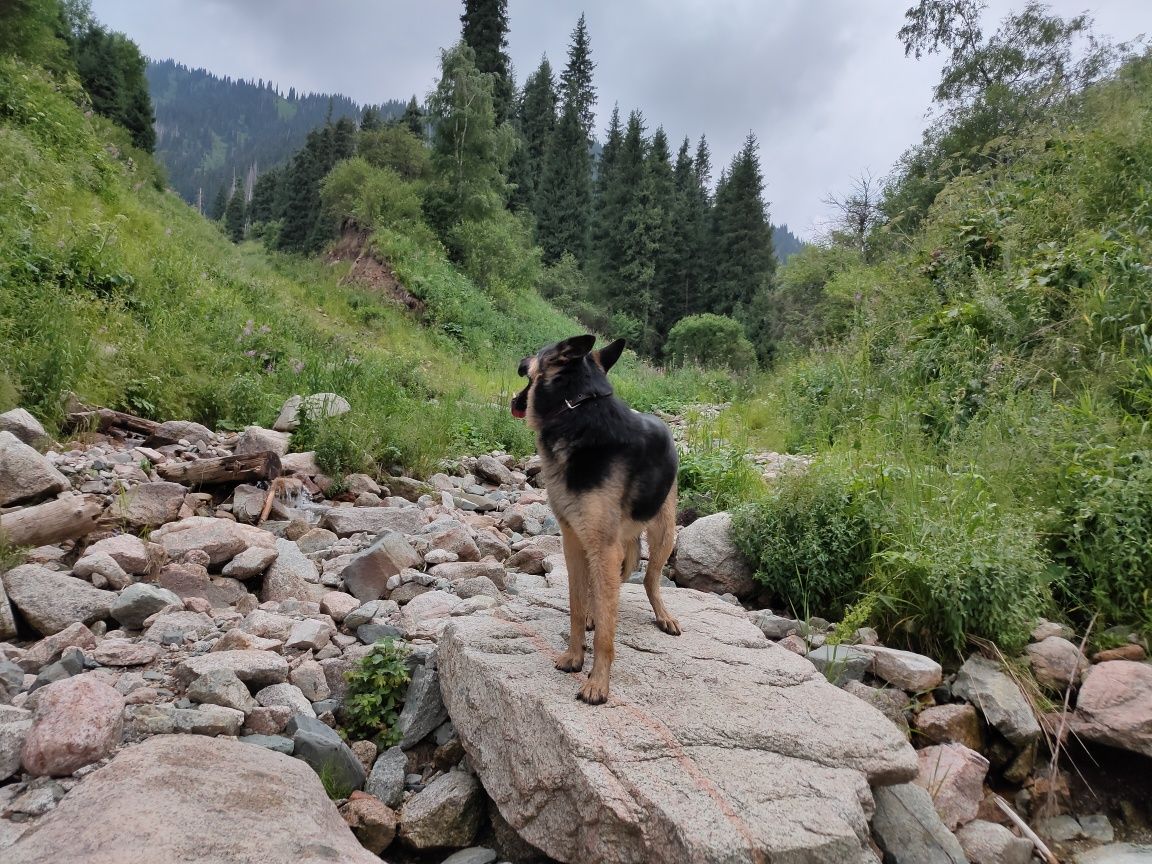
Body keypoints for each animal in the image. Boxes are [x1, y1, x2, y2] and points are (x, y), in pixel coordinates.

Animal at [509, 334, 677, 705]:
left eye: (539, 352)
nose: (521, 358)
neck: (576, 408)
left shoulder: (603, 548)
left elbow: (605, 634)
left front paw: (598, 683)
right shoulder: (572, 540)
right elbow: (575, 604)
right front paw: (574, 655)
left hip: (663, 532)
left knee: (650, 580)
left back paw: (663, 615)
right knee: (595, 593)